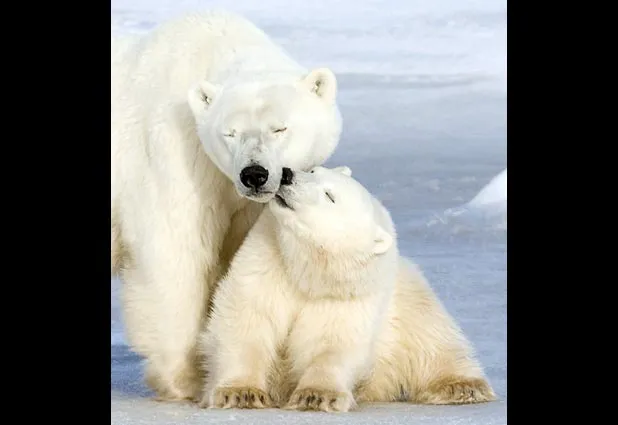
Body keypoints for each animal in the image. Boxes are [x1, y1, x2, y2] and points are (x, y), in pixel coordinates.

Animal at [110, 10, 342, 400]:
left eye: (280, 128)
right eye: (230, 133)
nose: (254, 174)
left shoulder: (245, 203)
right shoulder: (175, 154)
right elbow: (175, 251)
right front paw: (186, 379)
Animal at [200, 166, 494, 410]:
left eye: (329, 196)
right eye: (313, 170)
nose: (287, 174)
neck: (307, 271)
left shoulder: (347, 294)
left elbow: (334, 341)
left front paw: (317, 396)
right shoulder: (264, 264)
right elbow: (248, 320)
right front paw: (241, 393)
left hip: (410, 298)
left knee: (431, 335)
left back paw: (462, 386)